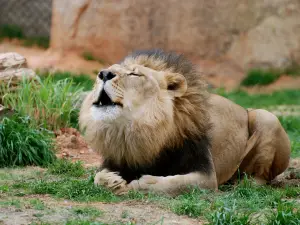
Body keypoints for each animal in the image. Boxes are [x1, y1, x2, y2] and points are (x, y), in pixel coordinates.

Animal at [79, 48, 290, 195]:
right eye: (105, 71)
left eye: (135, 74)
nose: (104, 74)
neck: (140, 131)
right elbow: (97, 177)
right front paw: (112, 181)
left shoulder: (206, 176)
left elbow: (175, 183)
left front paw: (142, 183)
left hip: (266, 117)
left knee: (262, 177)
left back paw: (244, 184)